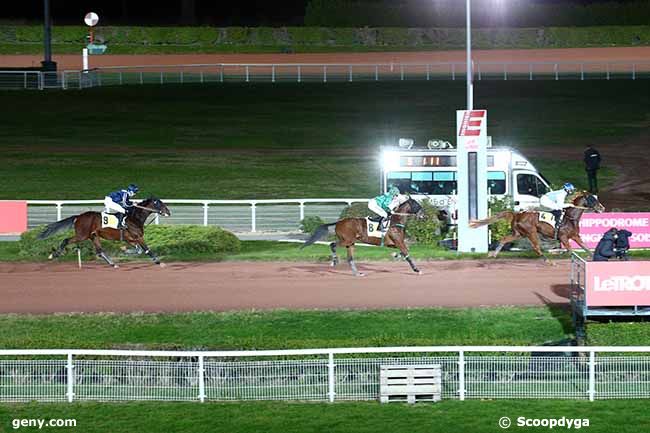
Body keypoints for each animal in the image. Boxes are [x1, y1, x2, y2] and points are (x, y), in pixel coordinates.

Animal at [36, 198, 171, 266]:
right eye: (160, 204)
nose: (169, 212)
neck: (134, 218)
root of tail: (78, 217)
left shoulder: (130, 239)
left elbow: (138, 250)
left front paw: (125, 250)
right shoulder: (137, 237)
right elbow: (146, 249)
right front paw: (159, 262)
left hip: (93, 236)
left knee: (100, 251)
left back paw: (112, 263)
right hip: (82, 235)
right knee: (66, 240)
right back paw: (54, 255)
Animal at [466, 191, 604, 262]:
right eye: (592, 199)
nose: (602, 208)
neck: (570, 218)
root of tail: (517, 214)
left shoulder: (575, 236)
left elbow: (585, 247)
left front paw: (593, 257)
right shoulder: (564, 237)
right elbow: (571, 250)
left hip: (518, 233)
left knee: (504, 239)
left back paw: (494, 254)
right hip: (531, 232)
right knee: (536, 247)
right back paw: (548, 261)